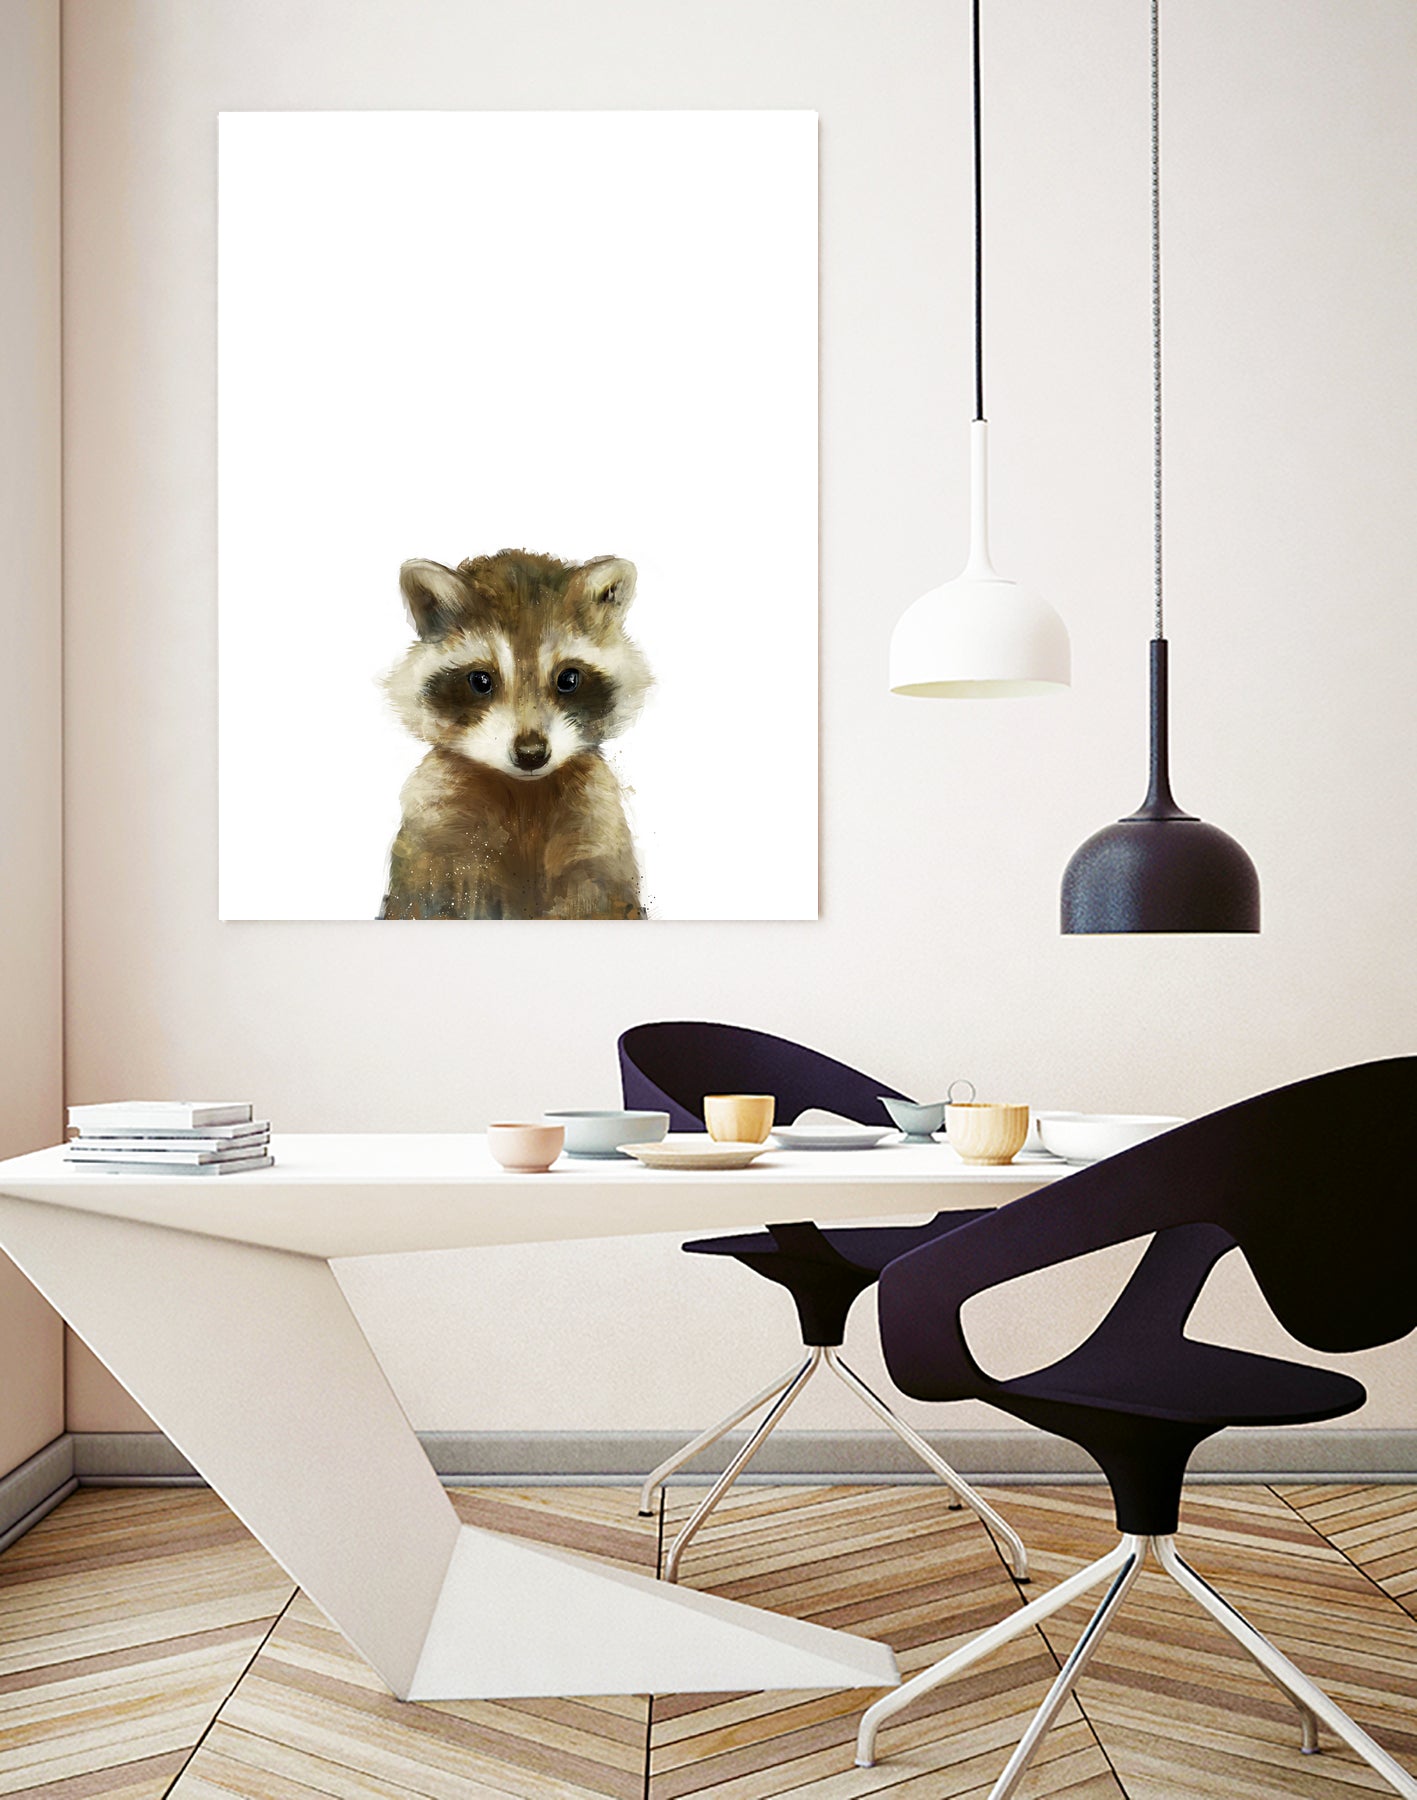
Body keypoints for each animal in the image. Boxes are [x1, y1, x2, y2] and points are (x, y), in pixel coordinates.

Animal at [379, 550, 653, 920]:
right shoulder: (436, 827)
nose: (531, 753)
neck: (525, 793)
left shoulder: (596, 824)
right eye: (481, 680)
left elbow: (598, 896)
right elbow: (429, 897)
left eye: (568, 679)